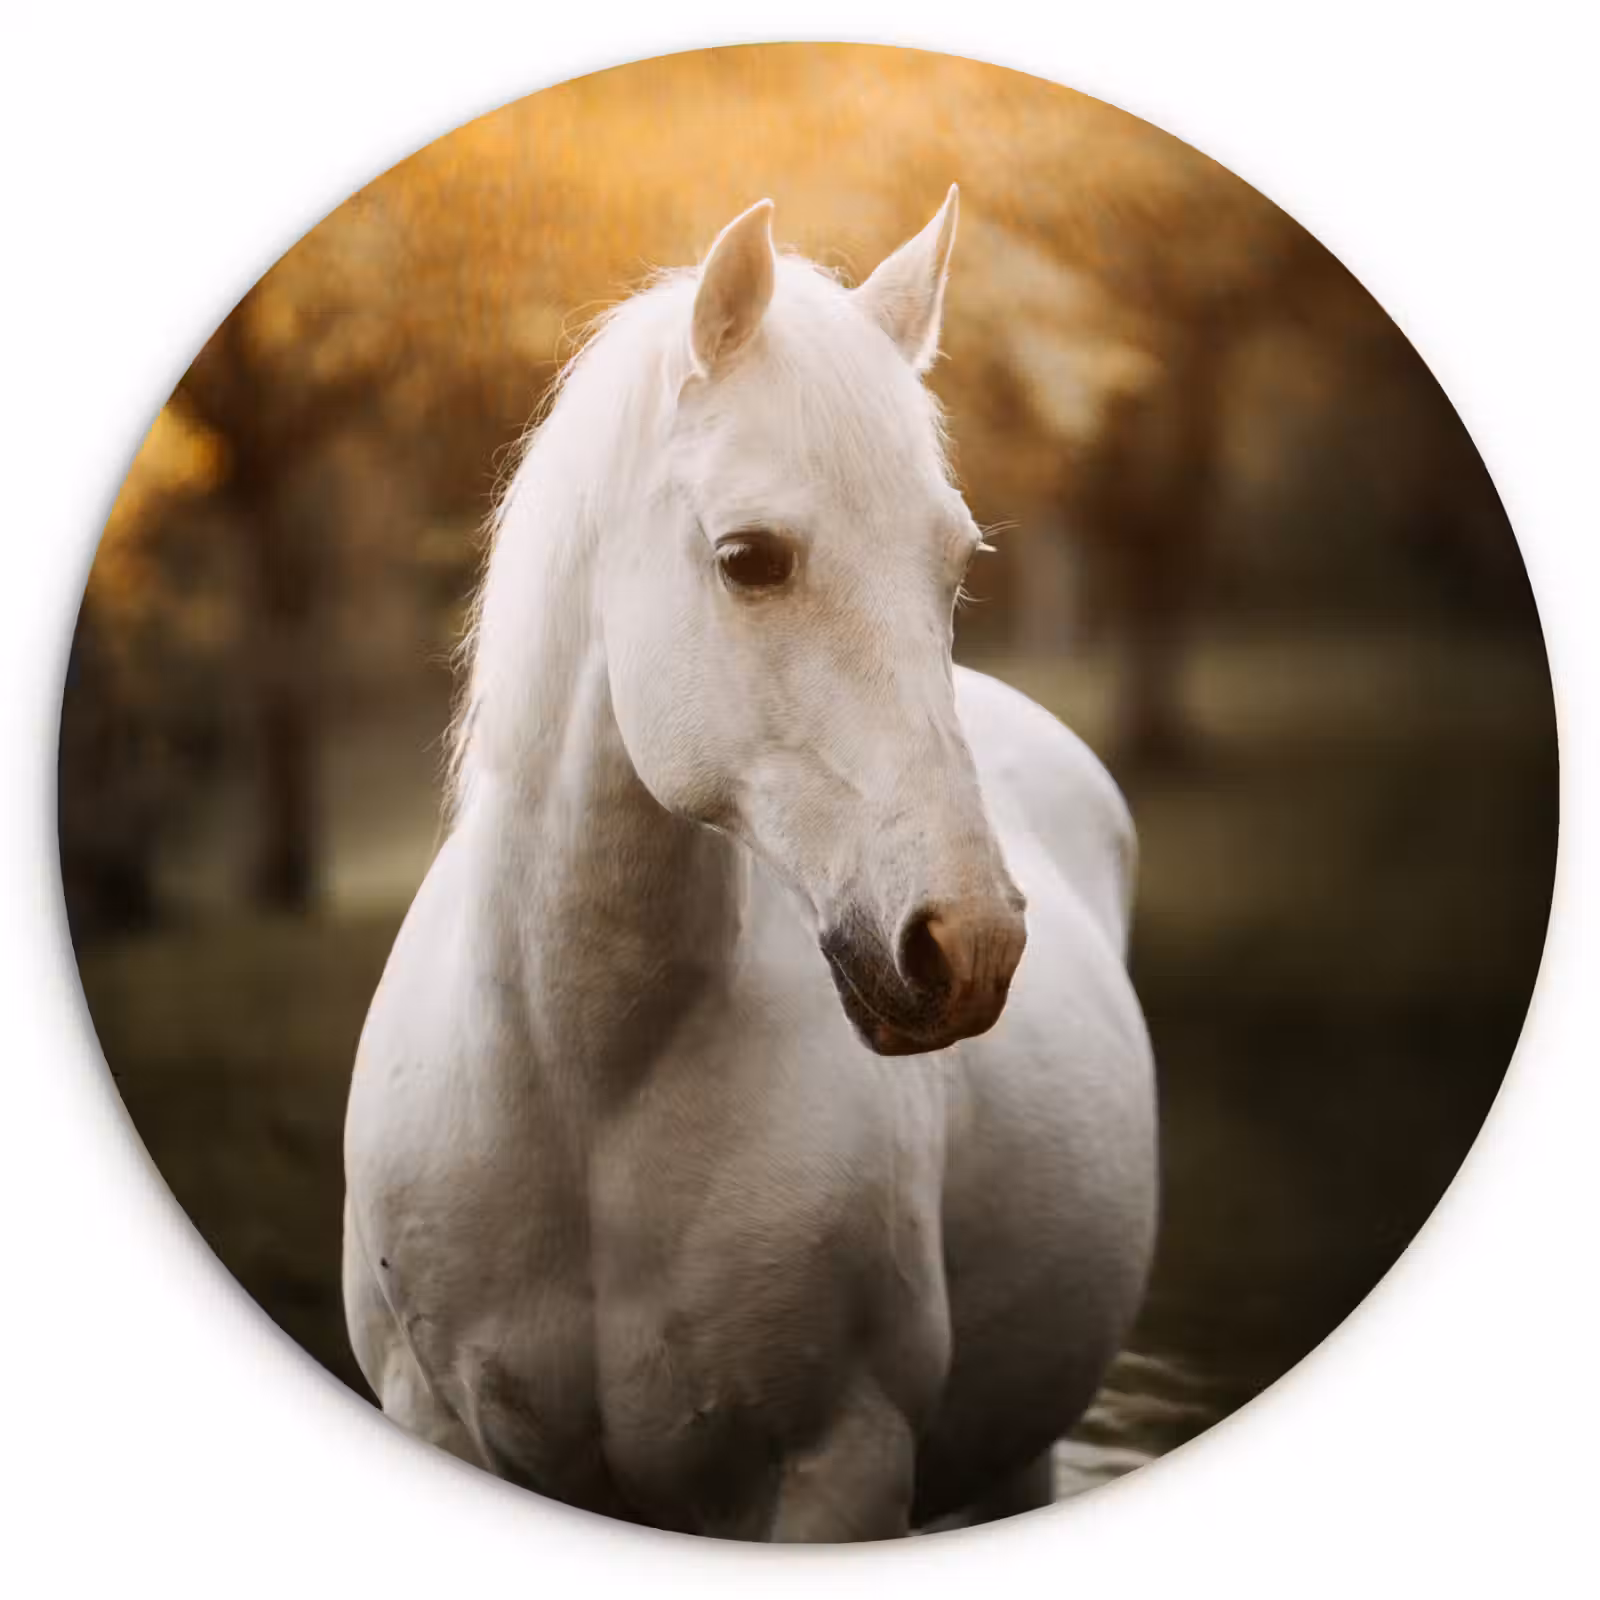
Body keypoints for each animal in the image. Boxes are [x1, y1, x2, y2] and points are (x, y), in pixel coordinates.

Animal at [342, 189, 1158, 1541]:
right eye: (750, 559)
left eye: (953, 564)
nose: (968, 942)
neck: (584, 1086)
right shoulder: (434, 1416)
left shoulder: (841, 1464)